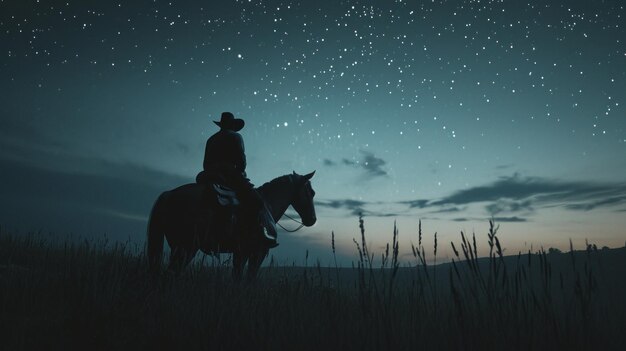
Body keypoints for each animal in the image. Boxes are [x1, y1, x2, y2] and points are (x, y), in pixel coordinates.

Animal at [144, 170, 314, 280]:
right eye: (311, 192)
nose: (312, 219)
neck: (268, 204)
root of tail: (168, 194)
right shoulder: (258, 252)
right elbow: (248, 279)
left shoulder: (241, 253)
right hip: (185, 248)